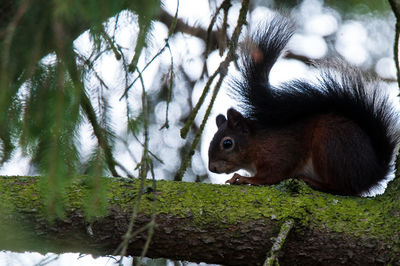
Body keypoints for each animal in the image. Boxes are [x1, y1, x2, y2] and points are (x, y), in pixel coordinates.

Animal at [208, 16, 398, 195]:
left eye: (227, 143)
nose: (212, 168)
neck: (256, 142)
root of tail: (372, 173)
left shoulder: (279, 152)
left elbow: (272, 175)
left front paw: (245, 178)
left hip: (330, 143)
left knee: (343, 187)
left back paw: (314, 182)